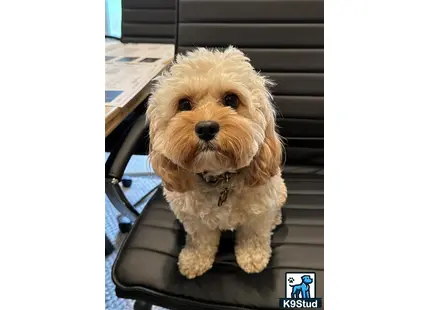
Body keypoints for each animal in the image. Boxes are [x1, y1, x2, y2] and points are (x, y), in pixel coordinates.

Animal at [146, 46, 288, 278]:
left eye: (231, 99)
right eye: (184, 104)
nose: (206, 128)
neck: (219, 178)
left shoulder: (258, 214)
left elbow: (254, 236)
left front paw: (253, 257)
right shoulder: (195, 221)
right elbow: (200, 241)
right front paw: (195, 260)